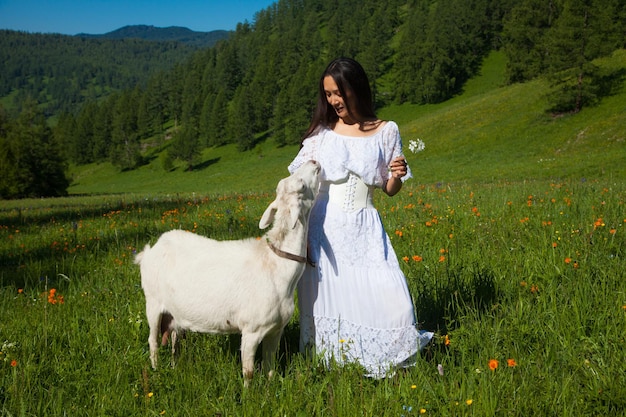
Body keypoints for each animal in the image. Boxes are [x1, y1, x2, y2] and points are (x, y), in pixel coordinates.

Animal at [137, 158, 322, 384]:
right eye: (301, 186)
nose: (314, 161)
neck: (275, 265)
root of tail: (149, 251)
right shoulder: (251, 330)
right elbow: (249, 371)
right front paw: (248, 393)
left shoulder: (275, 329)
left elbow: (270, 366)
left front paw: (269, 388)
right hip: (153, 302)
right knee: (153, 340)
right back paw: (156, 371)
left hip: (174, 312)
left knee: (174, 339)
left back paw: (174, 367)